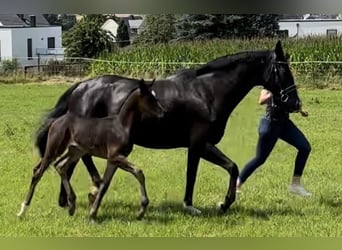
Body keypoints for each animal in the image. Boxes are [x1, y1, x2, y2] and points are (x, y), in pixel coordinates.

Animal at [17, 78, 164, 221]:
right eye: (150, 97)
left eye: (155, 96)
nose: (162, 112)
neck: (121, 126)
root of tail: (56, 121)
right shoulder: (115, 156)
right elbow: (139, 172)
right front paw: (142, 209)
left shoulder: (114, 160)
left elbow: (105, 184)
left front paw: (93, 213)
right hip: (54, 149)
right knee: (38, 172)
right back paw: (22, 211)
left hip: (75, 151)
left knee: (60, 166)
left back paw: (72, 205)